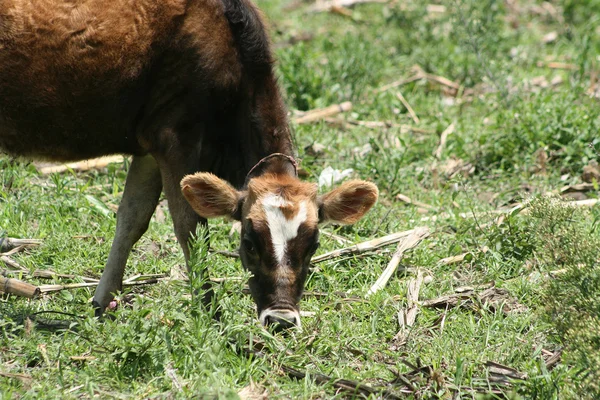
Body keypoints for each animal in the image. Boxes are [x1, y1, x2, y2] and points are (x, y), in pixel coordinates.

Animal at [0, 0, 378, 328]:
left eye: (314, 245)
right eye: (248, 242)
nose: (282, 319)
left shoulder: (149, 145)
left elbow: (132, 218)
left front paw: (101, 303)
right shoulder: (176, 137)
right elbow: (191, 228)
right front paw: (208, 309)